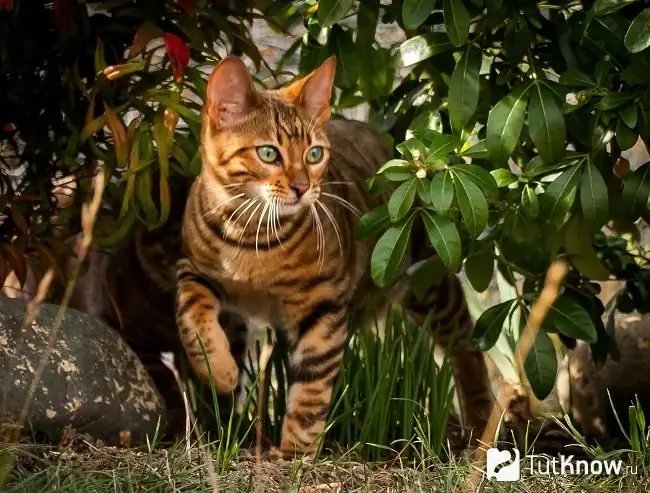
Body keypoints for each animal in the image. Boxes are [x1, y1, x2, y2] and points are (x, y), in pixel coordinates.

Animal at [172, 52, 492, 456]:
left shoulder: (321, 305)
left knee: (466, 343)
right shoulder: (192, 269)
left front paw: (294, 453)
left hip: (427, 279)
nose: (302, 187)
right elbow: (191, 319)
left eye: (314, 154)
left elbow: (312, 387)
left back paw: (480, 422)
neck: (252, 236)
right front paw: (220, 371)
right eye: (268, 153)